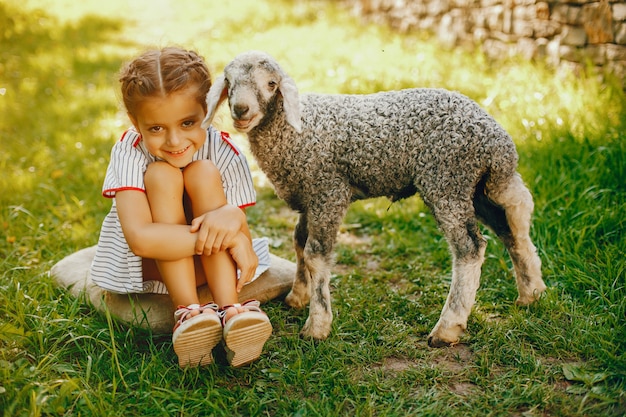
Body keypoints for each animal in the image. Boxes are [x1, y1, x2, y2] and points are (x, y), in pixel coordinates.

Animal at [202, 50, 544, 346]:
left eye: (271, 84)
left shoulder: (329, 191)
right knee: (511, 226)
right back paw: (532, 293)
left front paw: (317, 324)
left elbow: (315, 254)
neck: (295, 129)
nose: (241, 110)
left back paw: (448, 327)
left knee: (470, 248)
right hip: (477, 188)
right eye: (229, 81)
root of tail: (496, 140)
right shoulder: (309, 195)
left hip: (446, 180)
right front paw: (298, 297)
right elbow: (299, 243)